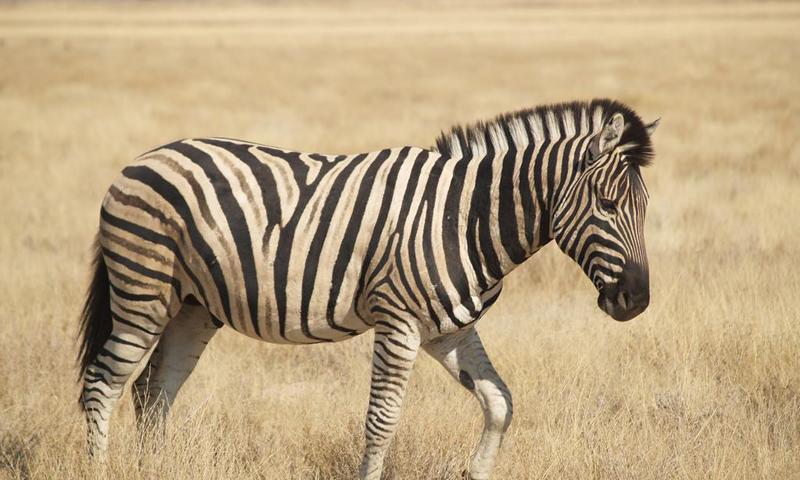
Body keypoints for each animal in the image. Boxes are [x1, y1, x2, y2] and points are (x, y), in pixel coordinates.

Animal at [77, 98, 658, 479]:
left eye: (645, 208)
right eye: (608, 205)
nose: (637, 302)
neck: (466, 218)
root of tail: (144, 158)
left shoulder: (448, 329)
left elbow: (499, 402)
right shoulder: (397, 322)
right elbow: (382, 423)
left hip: (193, 306)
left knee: (153, 391)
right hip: (143, 292)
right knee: (103, 385)